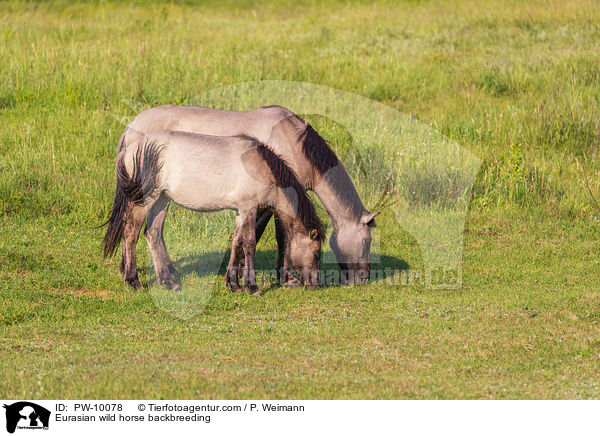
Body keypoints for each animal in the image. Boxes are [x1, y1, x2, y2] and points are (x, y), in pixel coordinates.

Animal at [103, 131, 324, 294]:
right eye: (316, 253)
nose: (315, 285)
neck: (261, 167)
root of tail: (130, 148)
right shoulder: (249, 208)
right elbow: (249, 244)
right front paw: (251, 286)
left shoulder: (241, 212)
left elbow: (237, 243)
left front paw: (233, 284)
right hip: (147, 199)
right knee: (131, 233)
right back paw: (133, 281)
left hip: (162, 200)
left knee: (153, 234)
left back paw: (167, 282)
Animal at [117, 104, 380, 284]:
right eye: (367, 242)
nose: (364, 278)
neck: (292, 143)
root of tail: (131, 128)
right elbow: (276, 236)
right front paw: (280, 276)